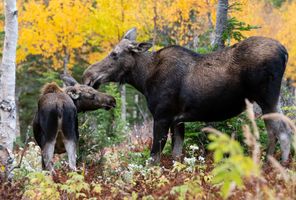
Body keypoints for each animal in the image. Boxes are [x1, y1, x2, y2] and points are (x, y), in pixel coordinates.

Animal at [82, 27, 290, 162]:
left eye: (114, 54)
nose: (88, 75)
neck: (144, 80)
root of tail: (285, 52)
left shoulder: (162, 116)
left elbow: (154, 158)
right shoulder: (178, 120)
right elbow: (176, 156)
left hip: (267, 98)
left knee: (282, 131)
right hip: (270, 100)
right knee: (277, 130)